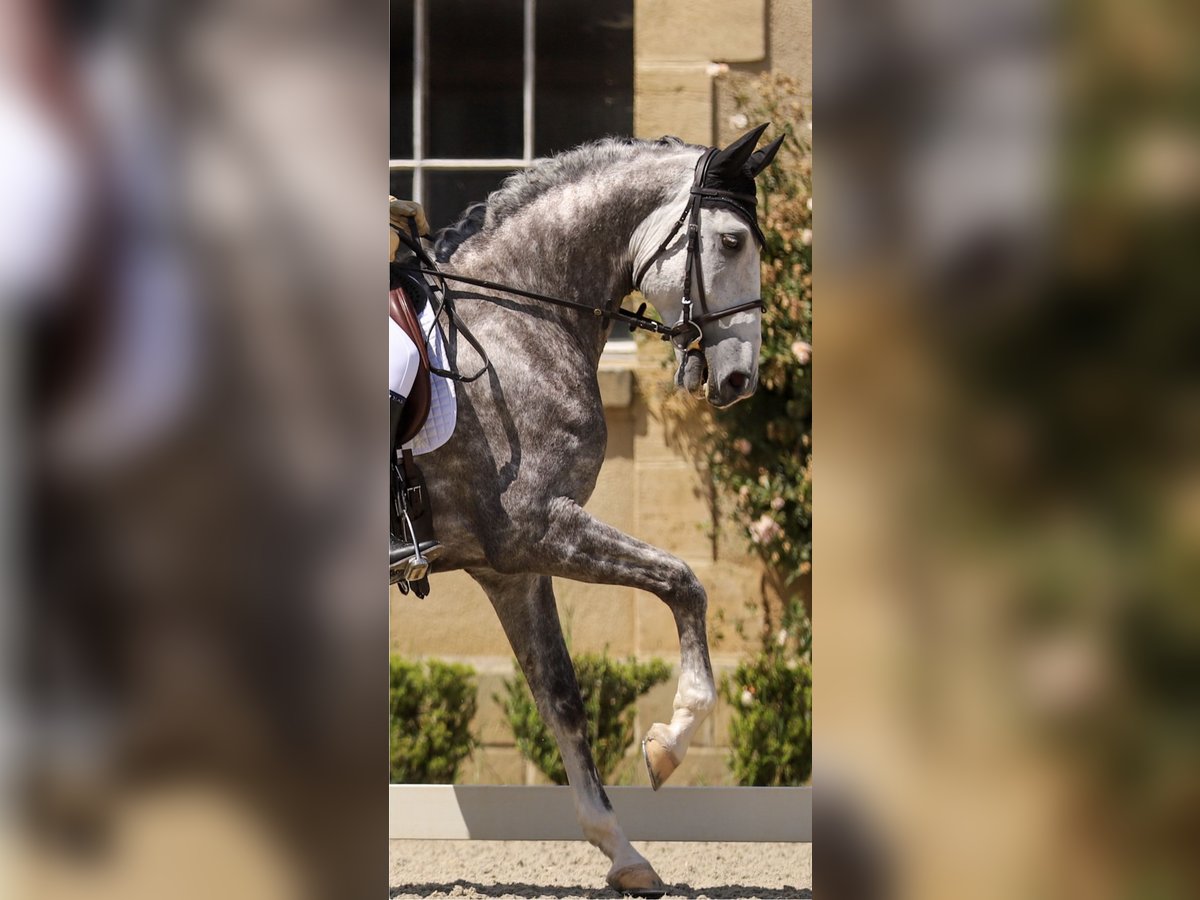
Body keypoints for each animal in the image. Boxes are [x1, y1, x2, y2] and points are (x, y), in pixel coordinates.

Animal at [420, 127, 777, 897]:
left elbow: (560, 696)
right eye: (733, 241)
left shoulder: (512, 569)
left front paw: (623, 851)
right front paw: (669, 741)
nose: (741, 380)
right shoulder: (540, 529)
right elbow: (682, 581)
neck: (514, 326)